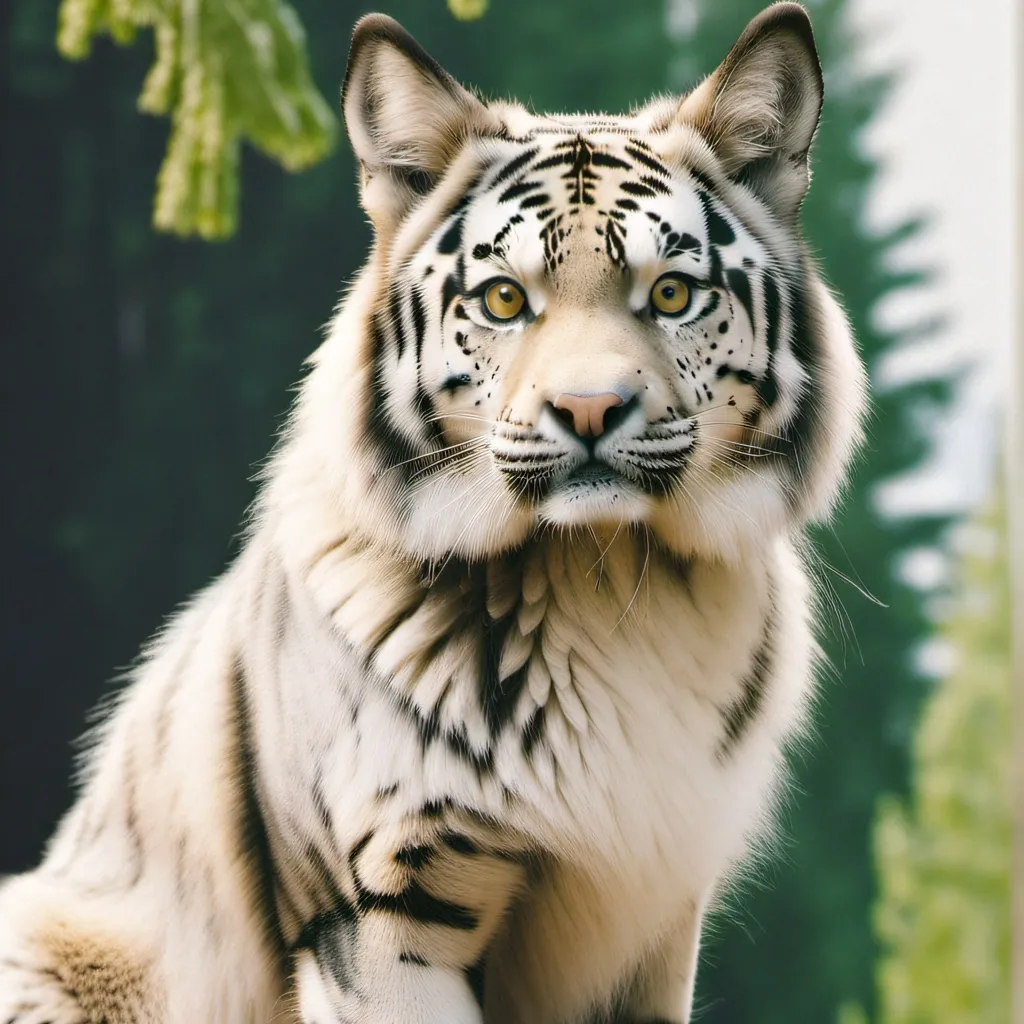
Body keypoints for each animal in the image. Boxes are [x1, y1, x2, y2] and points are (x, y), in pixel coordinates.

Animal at [0, 4, 867, 1022]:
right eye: (503, 299)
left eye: (671, 292)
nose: (589, 411)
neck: (605, 586)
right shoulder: (380, 911)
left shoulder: (651, 918)